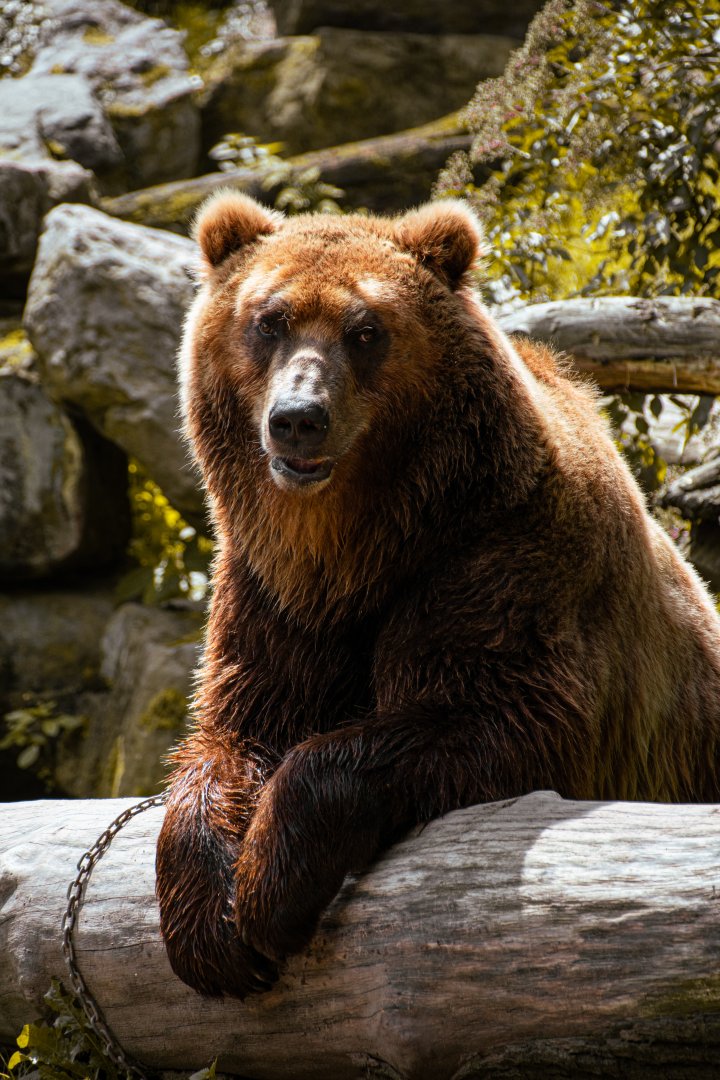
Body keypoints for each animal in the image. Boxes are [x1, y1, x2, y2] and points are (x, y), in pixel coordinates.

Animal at [156, 190, 720, 999]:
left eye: (365, 330)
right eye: (269, 319)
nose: (298, 419)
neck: (357, 550)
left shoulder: (497, 559)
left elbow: (482, 717)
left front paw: (267, 891)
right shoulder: (273, 595)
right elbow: (235, 731)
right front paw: (209, 923)